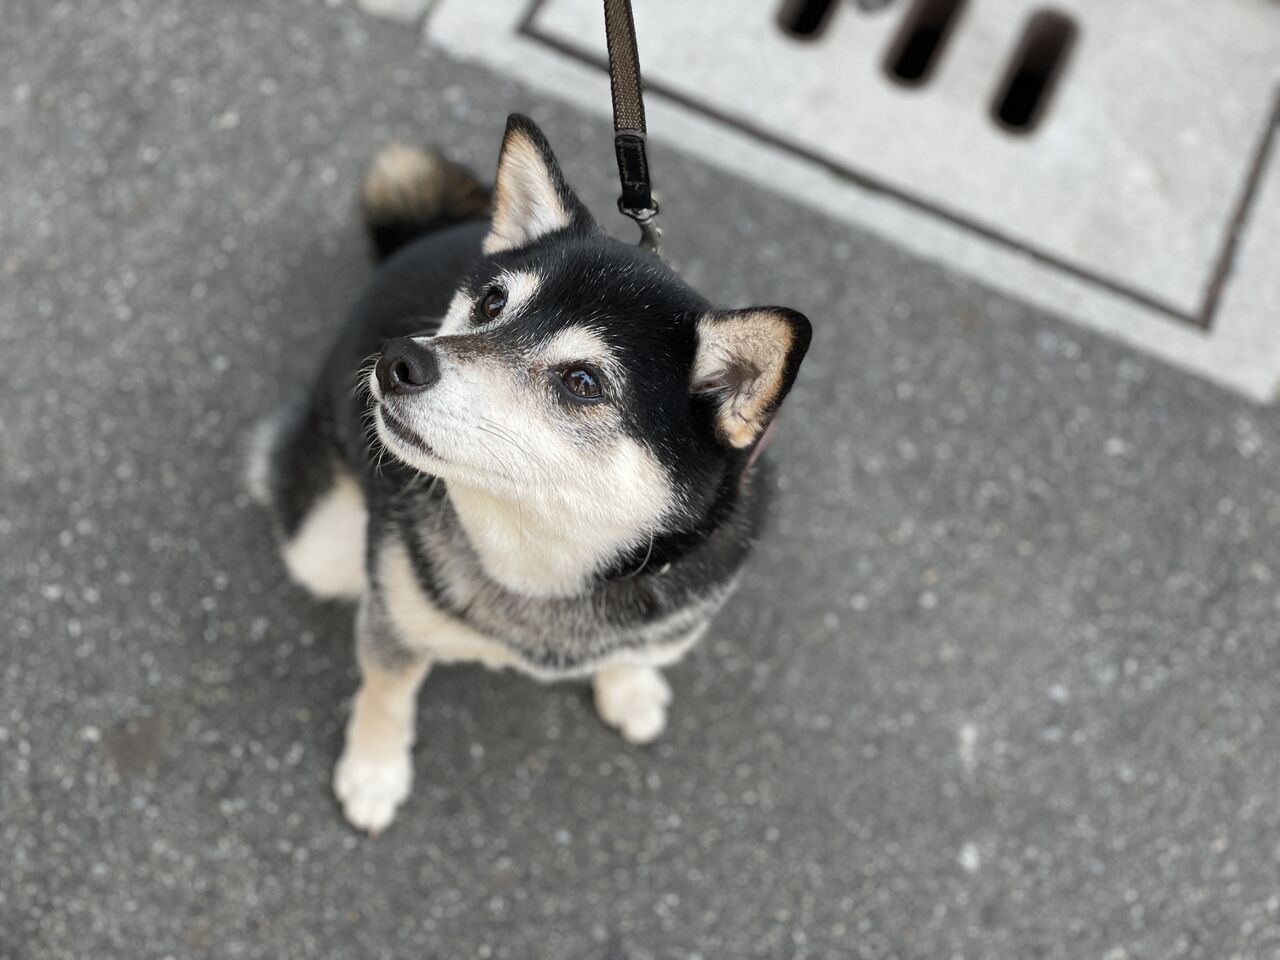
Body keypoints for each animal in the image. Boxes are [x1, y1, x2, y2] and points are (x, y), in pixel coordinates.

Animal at [247, 115, 812, 833]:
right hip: (320, 543)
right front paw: (374, 771)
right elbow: (387, 692)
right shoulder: (394, 621)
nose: (399, 362)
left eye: (582, 382)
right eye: (492, 303)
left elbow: (631, 653)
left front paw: (629, 687)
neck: (543, 554)